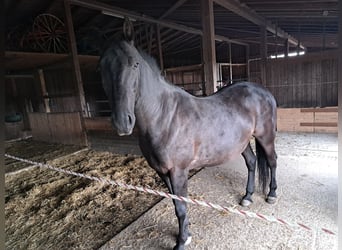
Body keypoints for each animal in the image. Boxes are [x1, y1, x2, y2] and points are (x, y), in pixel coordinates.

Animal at [99, 40, 278, 250]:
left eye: (135, 64)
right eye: (101, 67)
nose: (122, 122)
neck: (164, 116)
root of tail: (263, 91)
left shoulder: (178, 172)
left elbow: (182, 207)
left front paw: (182, 241)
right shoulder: (162, 172)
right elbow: (176, 205)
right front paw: (185, 234)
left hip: (266, 137)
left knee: (272, 162)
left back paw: (272, 194)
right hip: (242, 144)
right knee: (251, 162)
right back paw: (247, 197)